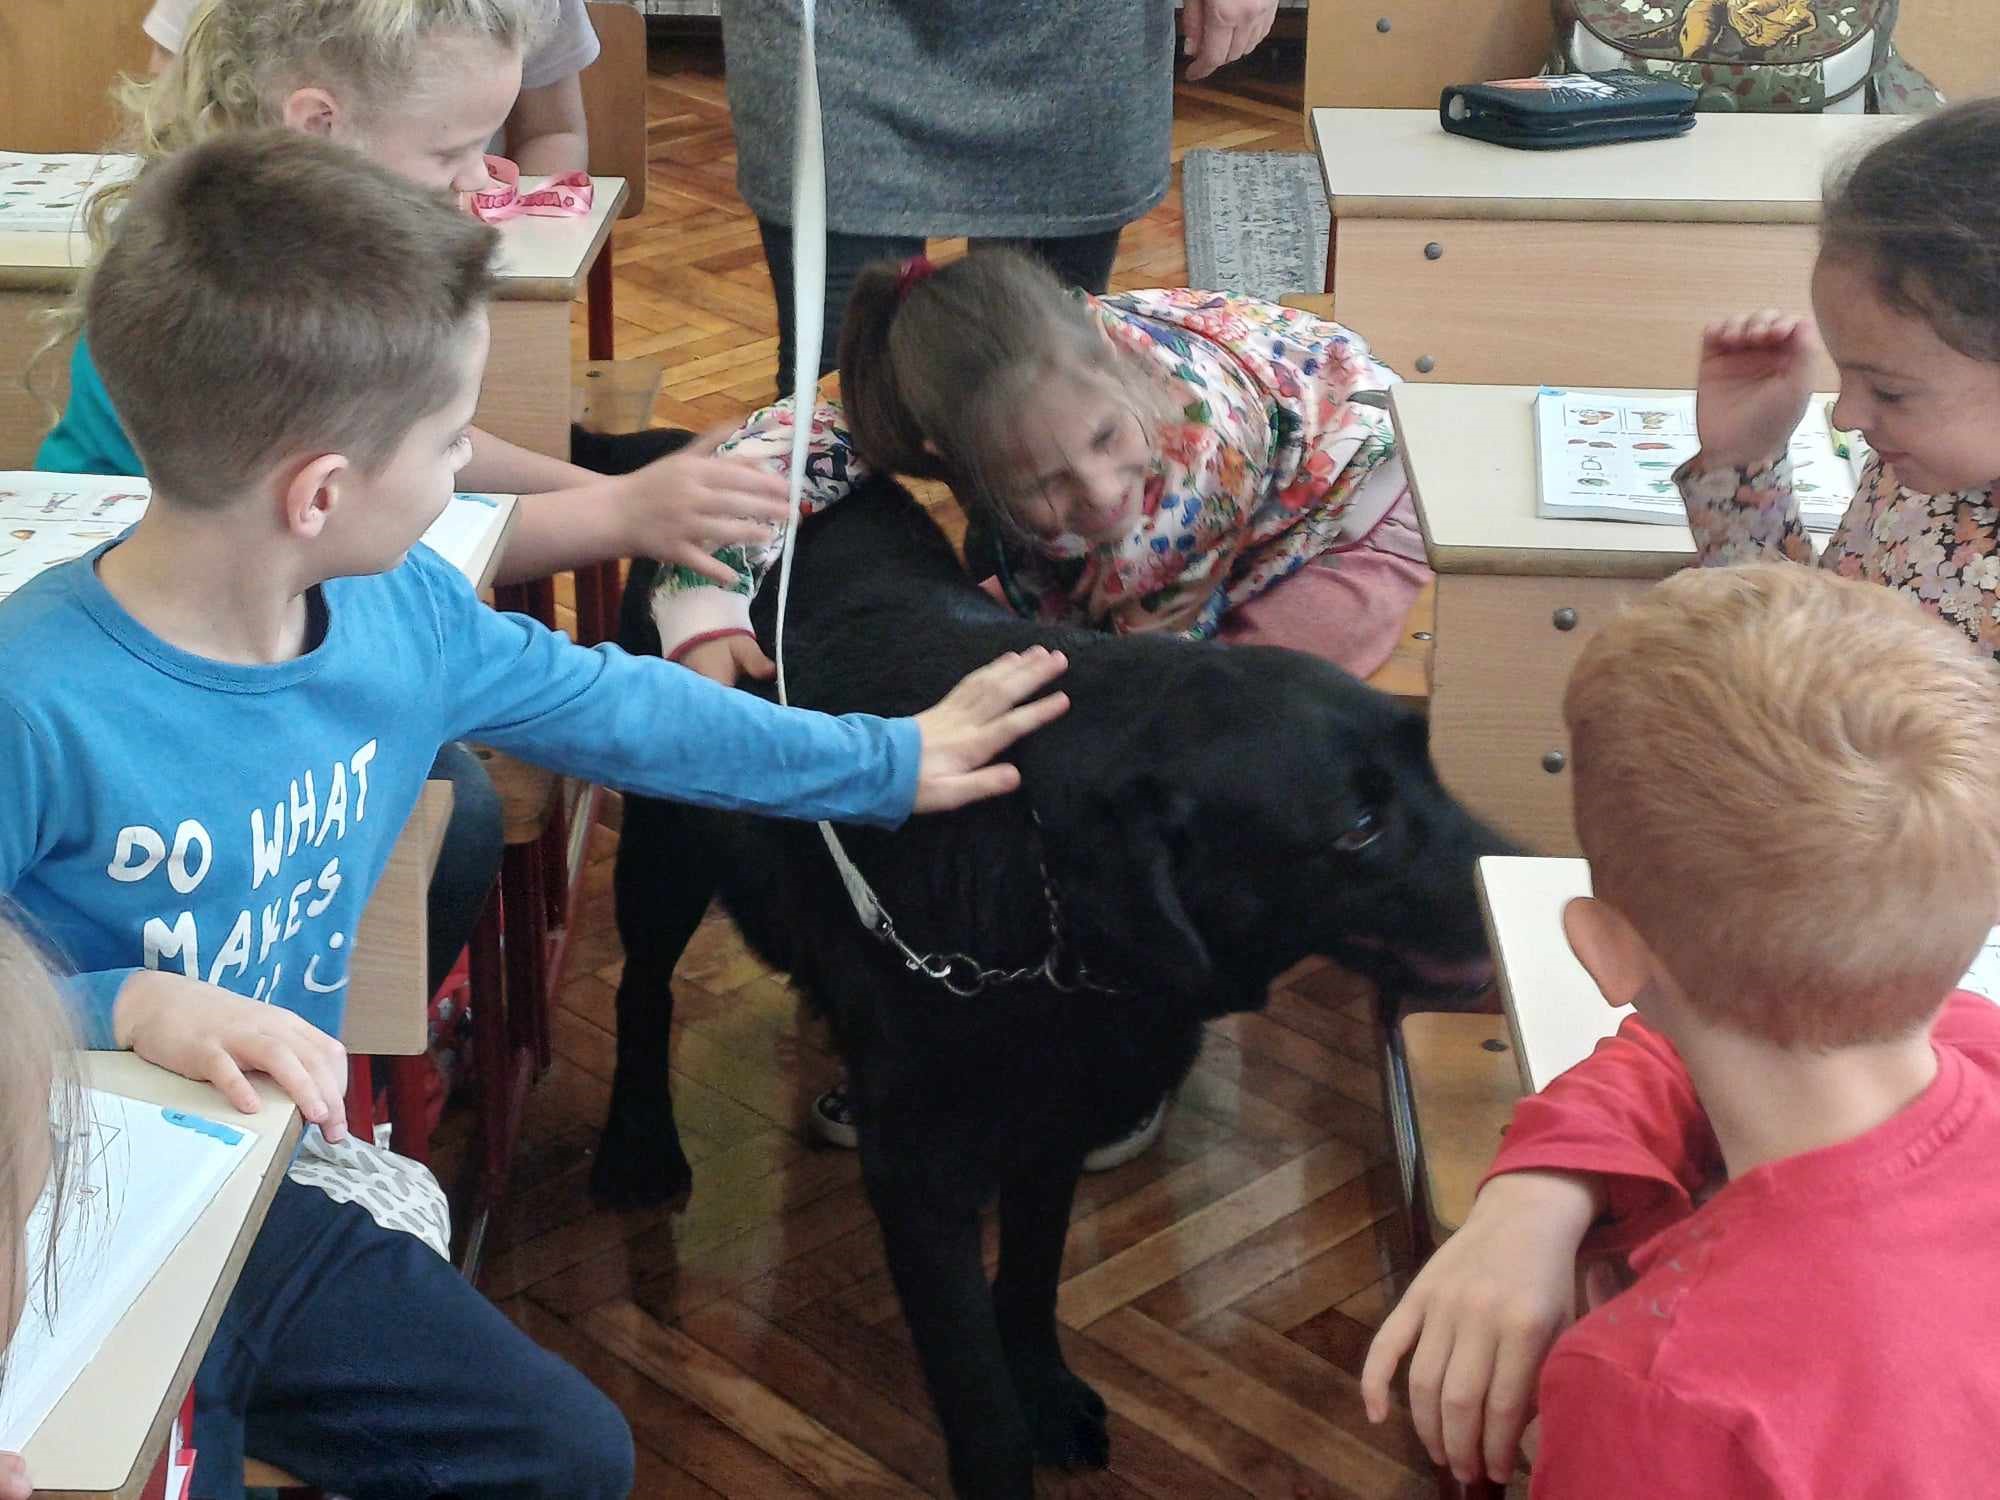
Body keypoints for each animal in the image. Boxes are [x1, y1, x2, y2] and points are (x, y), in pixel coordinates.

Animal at [595, 477, 1513, 1500]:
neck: (1045, 898)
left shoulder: (1059, 1121)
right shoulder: (922, 1178)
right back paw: (638, 1145)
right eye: (1359, 827)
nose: (1529, 872)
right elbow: (973, 1387)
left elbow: (1031, 1277)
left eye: (1430, 767)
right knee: (642, 992)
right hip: (665, 846)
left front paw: (1042, 1386)